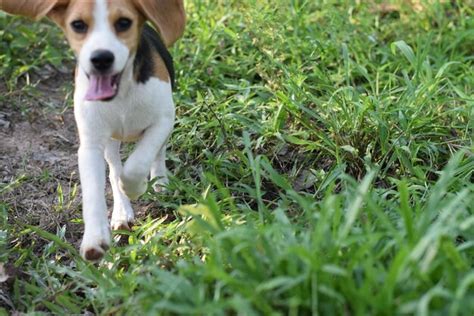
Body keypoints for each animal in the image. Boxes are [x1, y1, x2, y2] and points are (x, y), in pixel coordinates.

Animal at [2, 0, 187, 260]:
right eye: (78, 25)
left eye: (124, 23)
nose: (101, 58)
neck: (121, 92)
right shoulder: (90, 146)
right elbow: (96, 189)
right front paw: (94, 239)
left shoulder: (163, 120)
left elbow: (138, 163)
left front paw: (138, 187)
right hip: (110, 142)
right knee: (114, 170)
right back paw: (122, 212)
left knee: (156, 155)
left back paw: (159, 183)